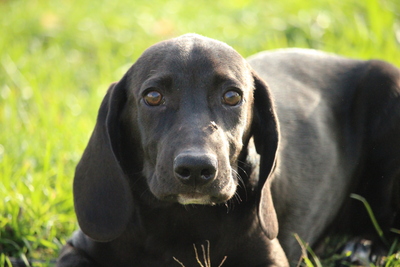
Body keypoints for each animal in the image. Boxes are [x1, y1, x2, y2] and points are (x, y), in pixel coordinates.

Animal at [57, 34, 400, 266]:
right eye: (153, 97)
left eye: (232, 96)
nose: (196, 169)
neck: (183, 222)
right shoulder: (77, 249)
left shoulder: (271, 259)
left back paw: (364, 246)